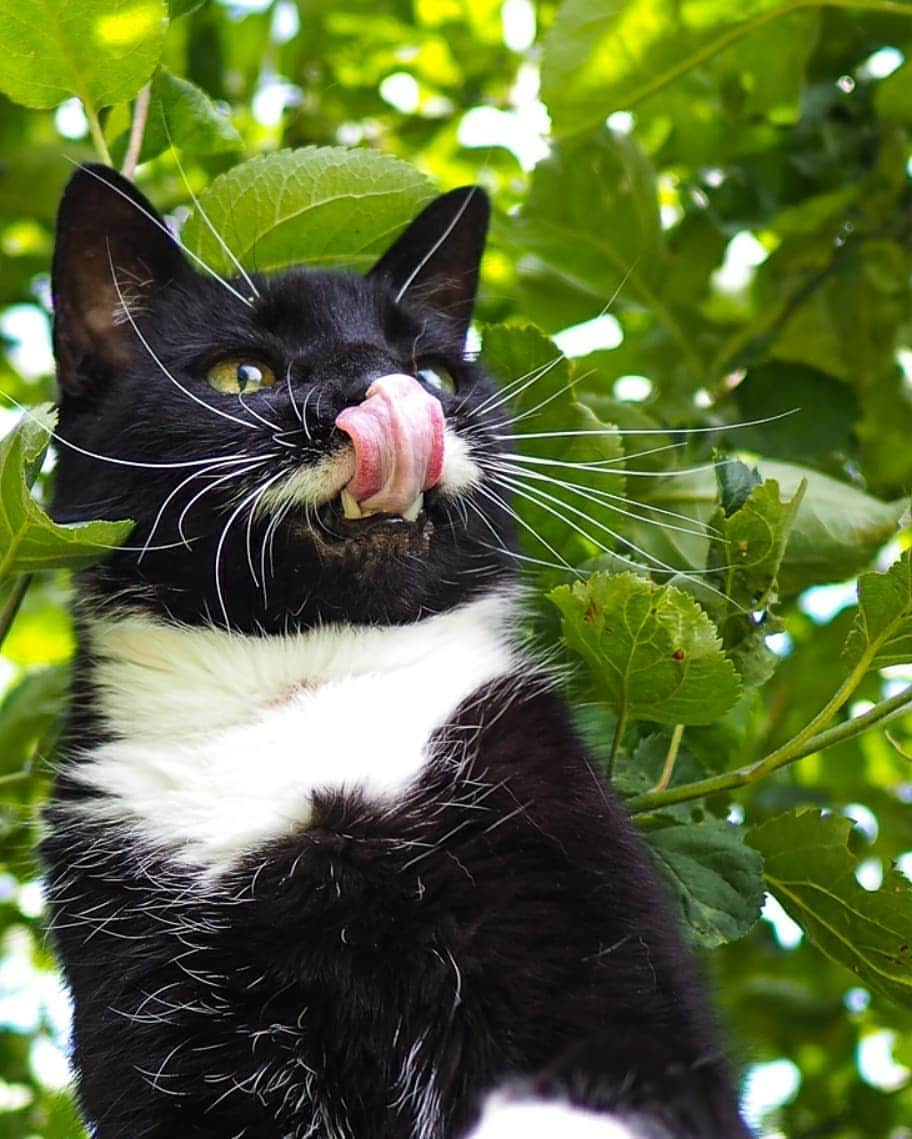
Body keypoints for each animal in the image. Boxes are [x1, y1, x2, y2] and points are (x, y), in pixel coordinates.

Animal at [40, 160, 756, 1139]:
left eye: (432, 371)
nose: (382, 387)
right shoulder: (145, 983)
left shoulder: (576, 884)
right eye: (242, 372)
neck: (302, 684)